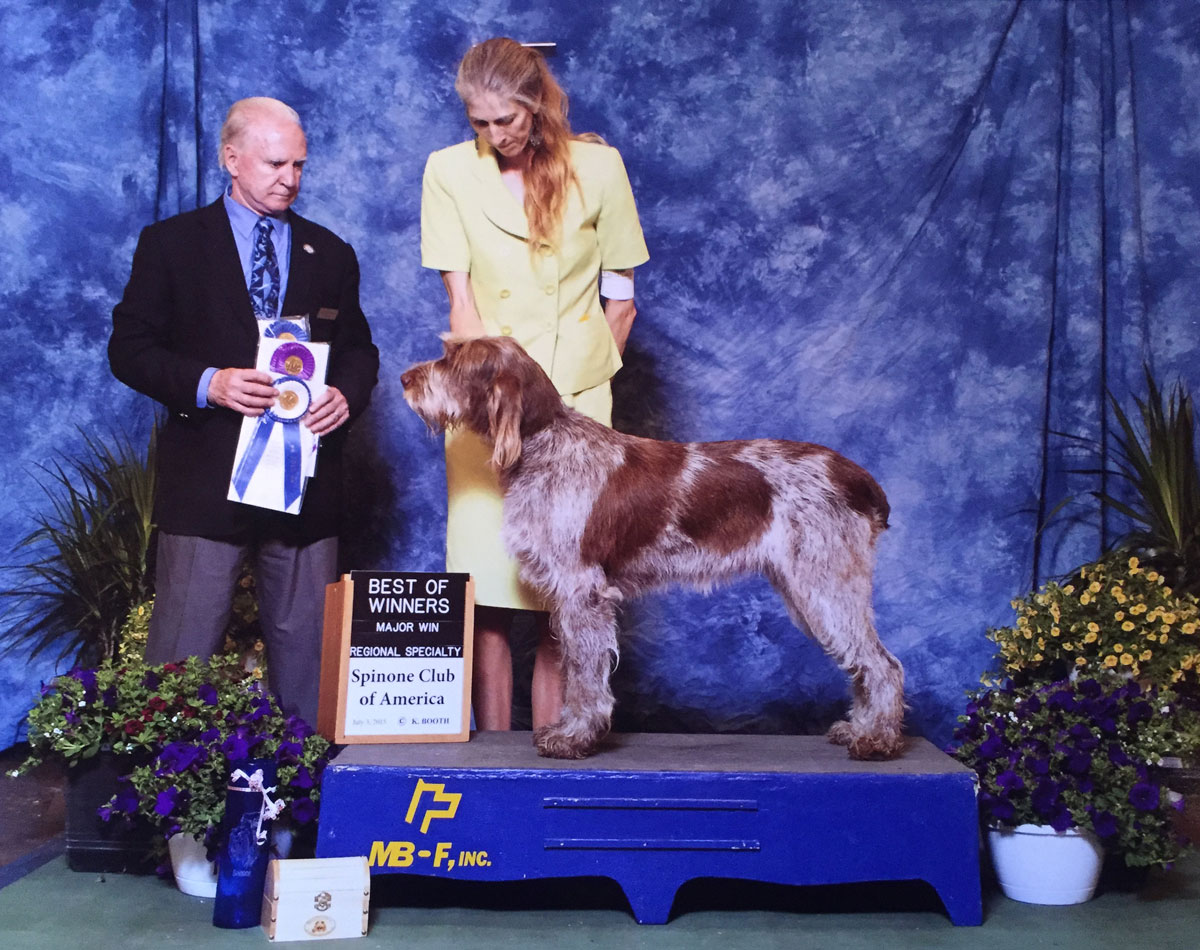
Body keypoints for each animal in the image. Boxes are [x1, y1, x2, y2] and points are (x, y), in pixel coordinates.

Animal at [398, 338, 902, 762]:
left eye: (453, 361)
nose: (405, 378)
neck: (544, 442)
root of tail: (856, 477)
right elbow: (574, 670)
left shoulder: (583, 591)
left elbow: (583, 673)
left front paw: (575, 736)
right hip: (808, 588)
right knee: (863, 664)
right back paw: (859, 728)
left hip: (824, 584)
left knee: (883, 665)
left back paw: (876, 738)